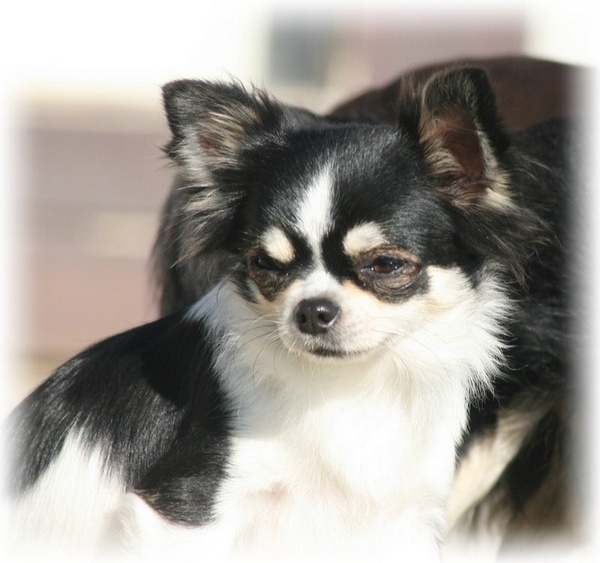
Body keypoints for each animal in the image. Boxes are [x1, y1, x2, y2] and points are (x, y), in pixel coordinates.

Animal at [7, 67, 576, 560]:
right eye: (265, 265)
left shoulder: (404, 520)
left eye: (386, 265)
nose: (312, 310)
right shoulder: (182, 512)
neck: (351, 389)